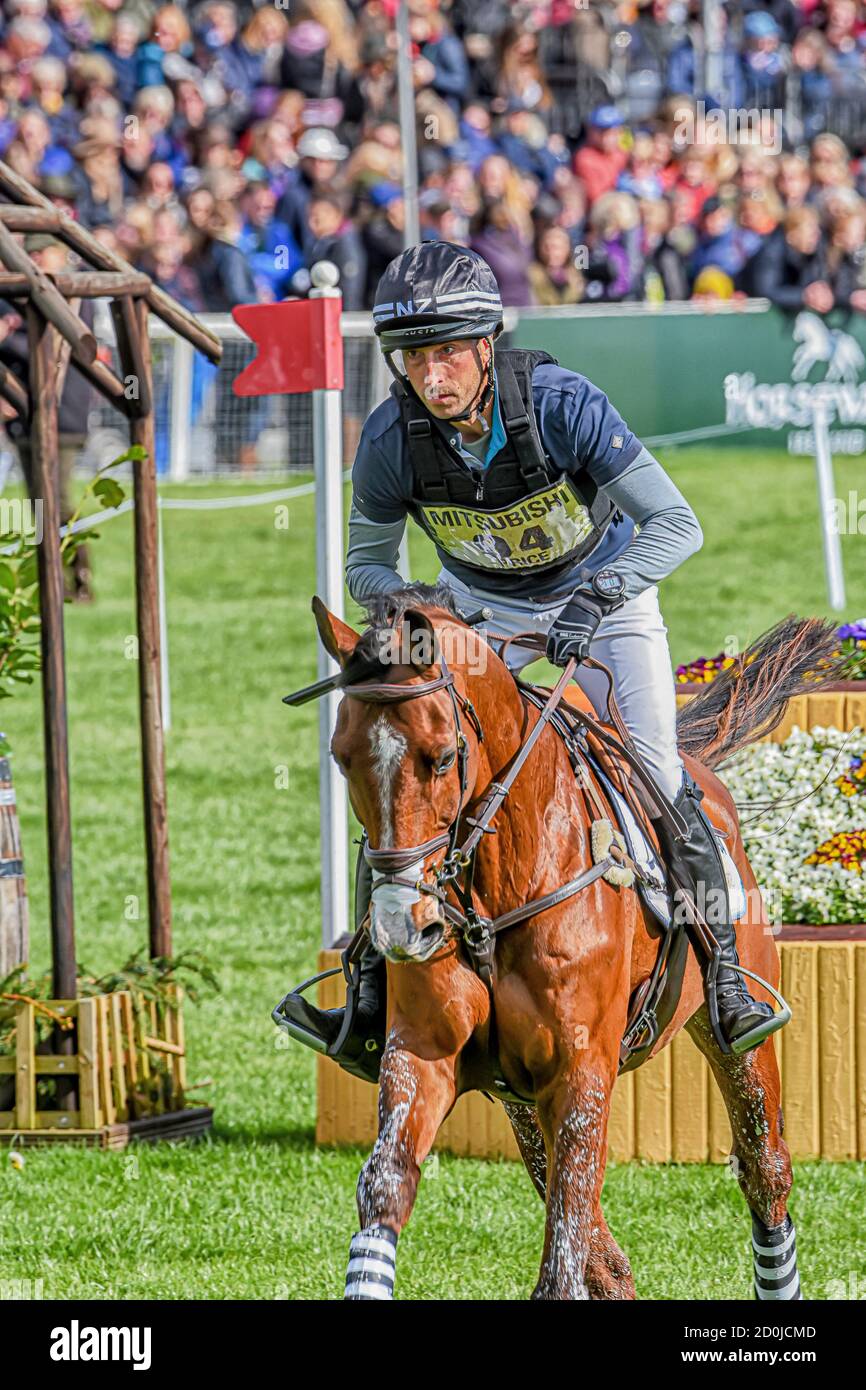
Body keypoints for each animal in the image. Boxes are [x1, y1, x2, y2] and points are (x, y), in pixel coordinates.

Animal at [311, 589, 828, 1301]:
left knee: (762, 1171)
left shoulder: (582, 1069)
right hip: (520, 1103)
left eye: (440, 757)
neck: (499, 889)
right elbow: (387, 1184)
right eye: (341, 757)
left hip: (734, 1042)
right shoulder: (423, 1050)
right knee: (601, 1251)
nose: (402, 929)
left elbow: (562, 1257)